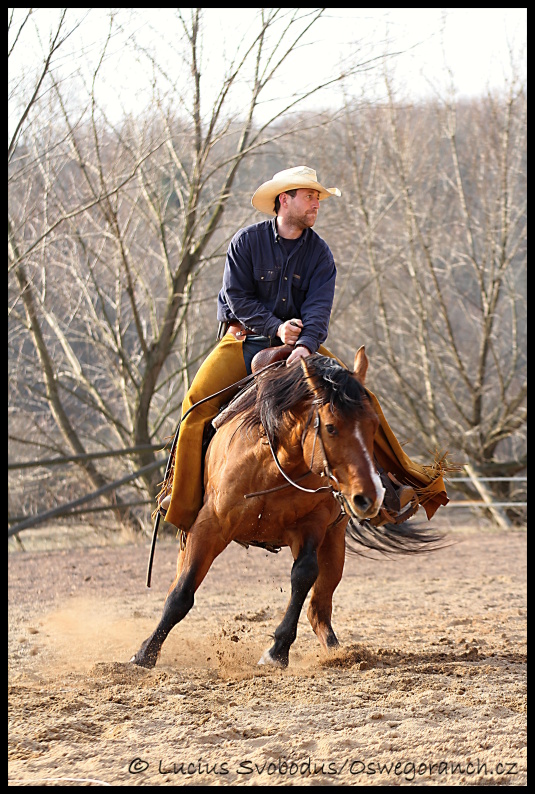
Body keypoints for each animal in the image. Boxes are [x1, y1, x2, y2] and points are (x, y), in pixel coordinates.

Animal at [131, 346, 440, 668]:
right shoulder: (209, 525)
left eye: (374, 426)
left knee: (318, 608)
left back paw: (339, 652)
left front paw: (277, 650)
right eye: (331, 427)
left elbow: (303, 575)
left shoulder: (312, 525)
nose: (369, 496)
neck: (272, 464)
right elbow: (182, 592)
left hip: (335, 541)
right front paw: (145, 653)